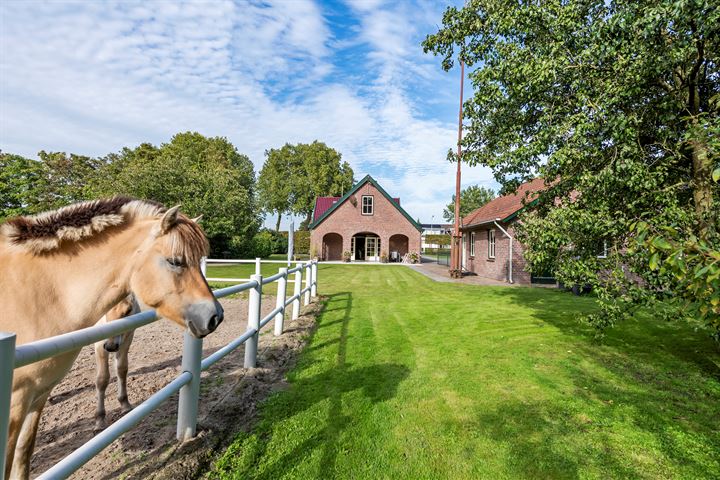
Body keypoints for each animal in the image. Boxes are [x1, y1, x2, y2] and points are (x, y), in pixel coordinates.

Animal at [93, 294, 140, 434]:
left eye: (128, 310)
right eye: (104, 308)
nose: (111, 346)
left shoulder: (127, 339)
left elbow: (122, 369)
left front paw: (125, 404)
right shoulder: (100, 345)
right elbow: (102, 379)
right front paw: (100, 420)